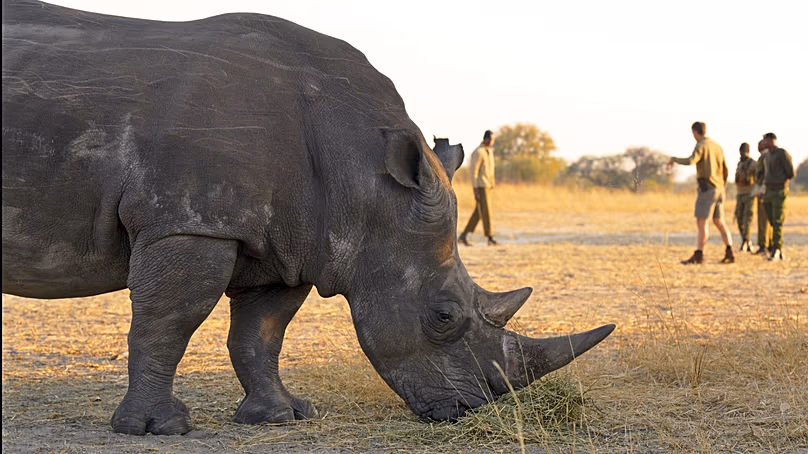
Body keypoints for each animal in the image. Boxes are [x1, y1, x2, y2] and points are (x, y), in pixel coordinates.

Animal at [1, 0, 615, 435]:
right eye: (443, 317)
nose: (468, 409)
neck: (364, 178)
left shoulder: (288, 240)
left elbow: (261, 332)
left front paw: (283, 416)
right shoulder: (190, 221)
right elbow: (168, 322)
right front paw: (157, 428)